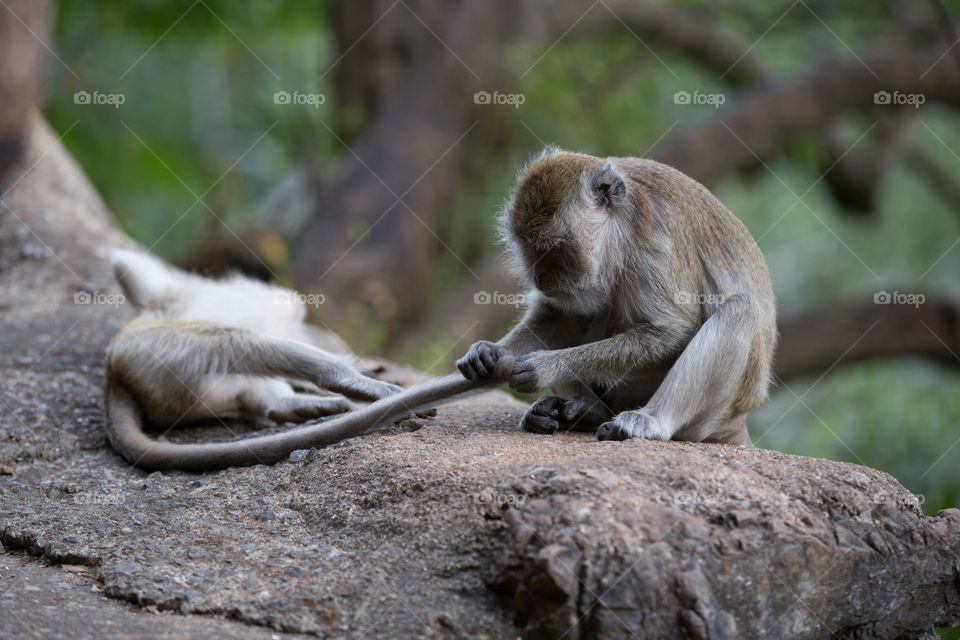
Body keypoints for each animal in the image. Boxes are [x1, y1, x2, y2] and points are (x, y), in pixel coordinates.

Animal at [104, 249, 512, 470]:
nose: (293, 302)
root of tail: (114, 376)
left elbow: (127, 269)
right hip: (150, 348)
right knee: (237, 341)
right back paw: (358, 384)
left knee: (252, 386)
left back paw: (293, 407)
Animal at [454, 146, 776, 444]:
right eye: (527, 246)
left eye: (553, 247)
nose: (538, 275)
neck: (621, 231)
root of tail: (738, 420)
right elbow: (555, 316)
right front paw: (492, 352)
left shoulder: (653, 249)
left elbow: (673, 333)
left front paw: (547, 367)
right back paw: (588, 411)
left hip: (717, 412)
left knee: (740, 310)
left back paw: (650, 420)